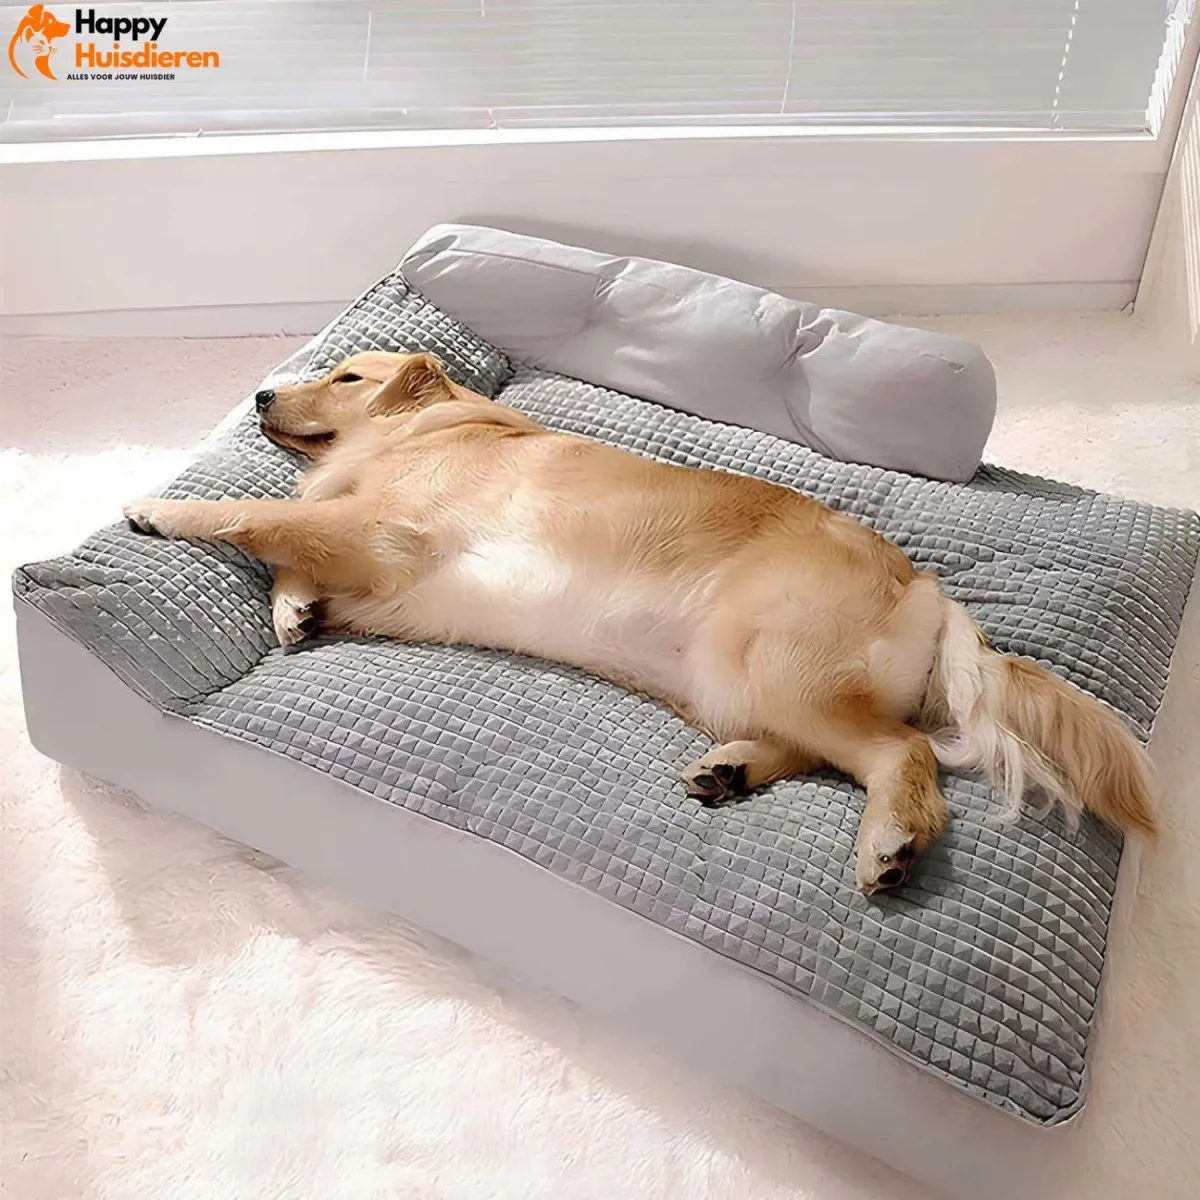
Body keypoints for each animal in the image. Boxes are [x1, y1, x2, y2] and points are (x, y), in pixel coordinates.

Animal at [124, 351, 1157, 893]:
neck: (439, 430)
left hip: (779, 659)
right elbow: (291, 545)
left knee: (901, 753)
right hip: (731, 682)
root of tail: (931, 592)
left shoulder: (382, 532)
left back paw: (890, 843)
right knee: (834, 749)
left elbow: (258, 513)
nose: (262, 392)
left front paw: (159, 509)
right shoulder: (373, 568)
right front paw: (294, 604)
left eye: (344, 377)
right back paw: (730, 772)